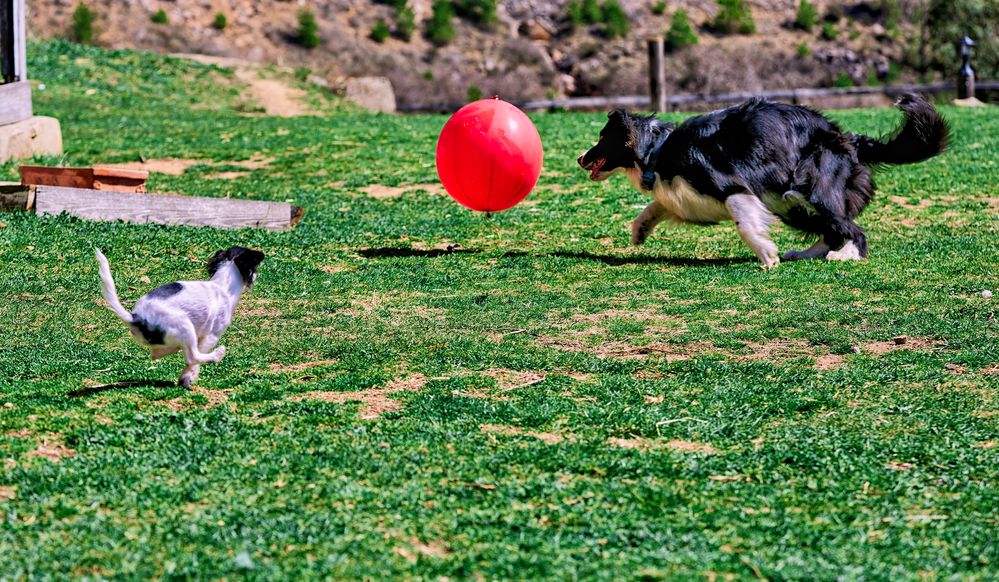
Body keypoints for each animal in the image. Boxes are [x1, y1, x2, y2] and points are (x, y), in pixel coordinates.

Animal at [93, 245, 266, 388]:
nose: (257, 277)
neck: (222, 285)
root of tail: (135, 317)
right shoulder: (212, 335)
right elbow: (194, 361)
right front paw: (189, 377)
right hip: (185, 326)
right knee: (193, 356)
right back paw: (217, 354)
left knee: (158, 353)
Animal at [580, 94, 944, 270]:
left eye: (602, 139)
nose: (580, 158)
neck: (658, 150)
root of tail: (848, 137)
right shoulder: (686, 199)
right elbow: (656, 205)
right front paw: (639, 230)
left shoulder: (732, 186)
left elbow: (744, 223)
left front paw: (767, 256)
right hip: (789, 202)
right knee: (830, 229)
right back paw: (807, 253)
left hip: (810, 189)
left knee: (851, 228)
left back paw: (846, 255)